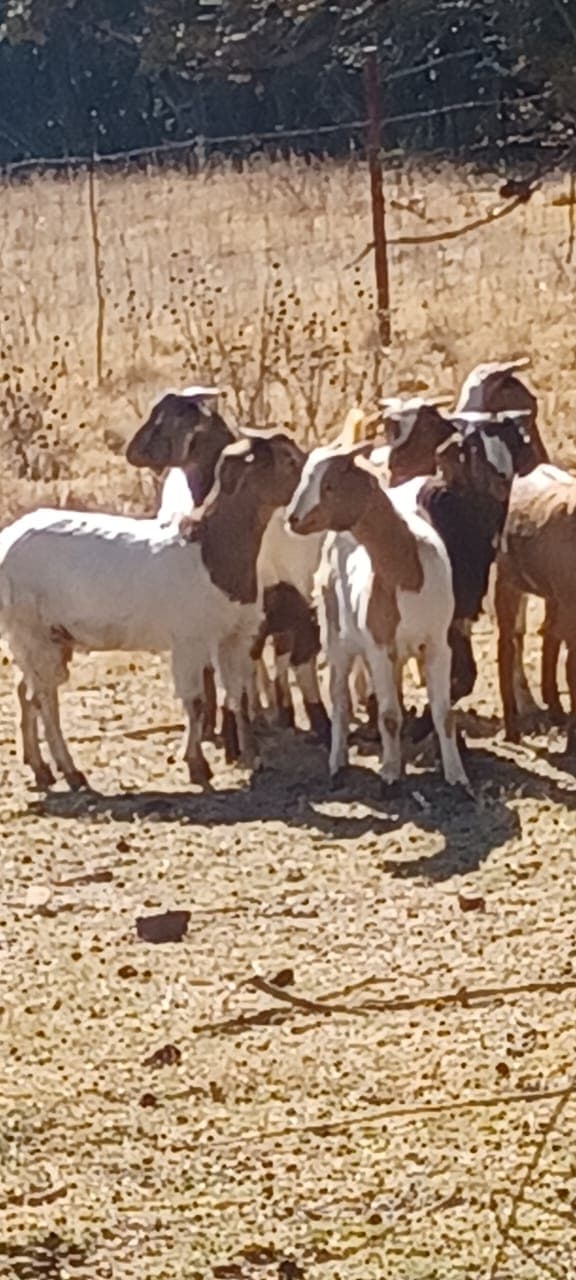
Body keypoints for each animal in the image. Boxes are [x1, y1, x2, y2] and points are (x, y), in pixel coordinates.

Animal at [0, 433, 303, 791]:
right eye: (288, 460)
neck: (211, 552)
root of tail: (7, 539)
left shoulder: (235, 637)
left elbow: (237, 696)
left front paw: (254, 758)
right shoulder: (190, 640)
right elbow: (196, 702)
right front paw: (198, 766)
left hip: (44, 637)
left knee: (27, 691)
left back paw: (40, 768)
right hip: (31, 630)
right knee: (45, 696)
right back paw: (71, 772)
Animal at [287, 443, 470, 791]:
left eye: (329, 486)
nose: (293, 519)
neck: (407, 570)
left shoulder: (437, 643)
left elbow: (444, 714)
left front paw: (457, 777)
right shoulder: (379, 646)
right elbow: (389, 716)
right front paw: (389, 775)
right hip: (336, 635)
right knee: (341, 700)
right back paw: (338, 763)